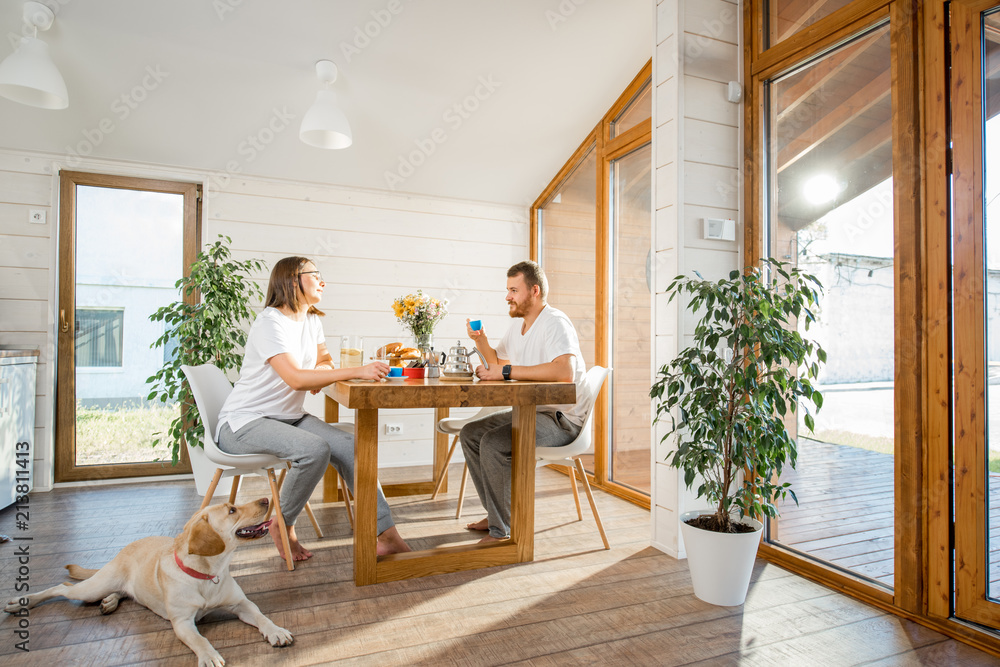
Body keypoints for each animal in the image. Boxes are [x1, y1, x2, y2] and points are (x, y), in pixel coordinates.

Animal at [4, 498, 292, 664]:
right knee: (62, 587)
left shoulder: (242, 605)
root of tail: (124, 549)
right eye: (232, 510)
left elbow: (262, 616)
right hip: (92, 587)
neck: (207, 574)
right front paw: (209, 655)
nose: (266, 498)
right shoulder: (182, 623)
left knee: (122, 592)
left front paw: (276, 631)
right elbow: (200, 640)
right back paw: (22, 601)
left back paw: (110, 602)